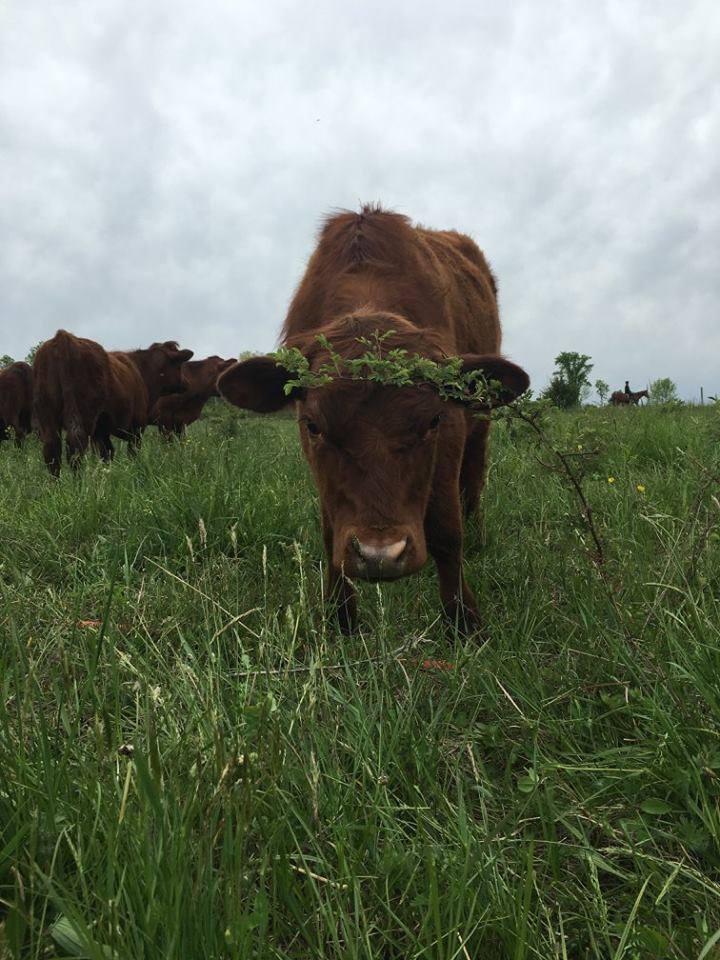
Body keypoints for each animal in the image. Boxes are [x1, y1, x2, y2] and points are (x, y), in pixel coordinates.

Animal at [32, 330, 193, 476]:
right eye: (179, 365)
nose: (187, 383)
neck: (140, 371)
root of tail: (63, 337)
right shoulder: (137, 426)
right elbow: (132, 452)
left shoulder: (101, 432)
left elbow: (107, 454)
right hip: (82, 414)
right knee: (75, 447)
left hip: (47, 414)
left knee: (52, 449)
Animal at [219, 204, 528, 632]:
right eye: (314, 425)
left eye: (432, 421)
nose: (380, 554)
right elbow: (330, 531)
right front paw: (341, 616)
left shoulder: (451, 431)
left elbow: (447, 532)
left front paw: (462, 620)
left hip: (479, 424)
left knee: (472, 483)